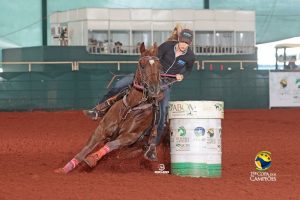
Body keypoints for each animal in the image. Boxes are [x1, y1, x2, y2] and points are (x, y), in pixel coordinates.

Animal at [54, 43, 161, 173]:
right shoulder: (101, 128)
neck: (130, 107)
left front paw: (92, 158)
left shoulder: (130, 137)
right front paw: (64, 169)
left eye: (159, 66)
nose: (154, 89)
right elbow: (85, 150)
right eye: (142, 65)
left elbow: (111, 145)